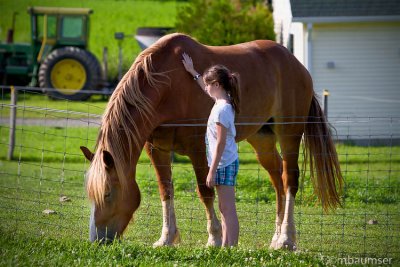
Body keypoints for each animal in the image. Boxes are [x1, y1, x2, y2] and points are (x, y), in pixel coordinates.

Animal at [79, 32, 342, 250]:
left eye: (107, 194)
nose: (97, 240)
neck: (168, 84)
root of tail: (296, 64)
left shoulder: (198, 148)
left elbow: (204, 191)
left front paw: (214, 238)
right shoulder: (157, 149)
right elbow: (166, 190)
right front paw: (166, 238)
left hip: (289, 135)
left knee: (289, 180)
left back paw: (286, 239)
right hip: (262, 139)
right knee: (277, 179)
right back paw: (276, 237)